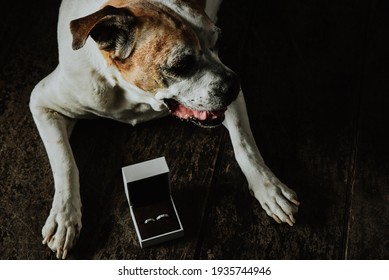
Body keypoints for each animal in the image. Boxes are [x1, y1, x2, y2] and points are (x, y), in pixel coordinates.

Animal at [28, 0, 298, 260]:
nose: (234, 86)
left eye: (218, 41)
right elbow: (65, 161)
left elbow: (244, 143)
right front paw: (65, 217)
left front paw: (269, 187)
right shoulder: (42, 103)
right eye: (181, 65)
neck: (134, 95)